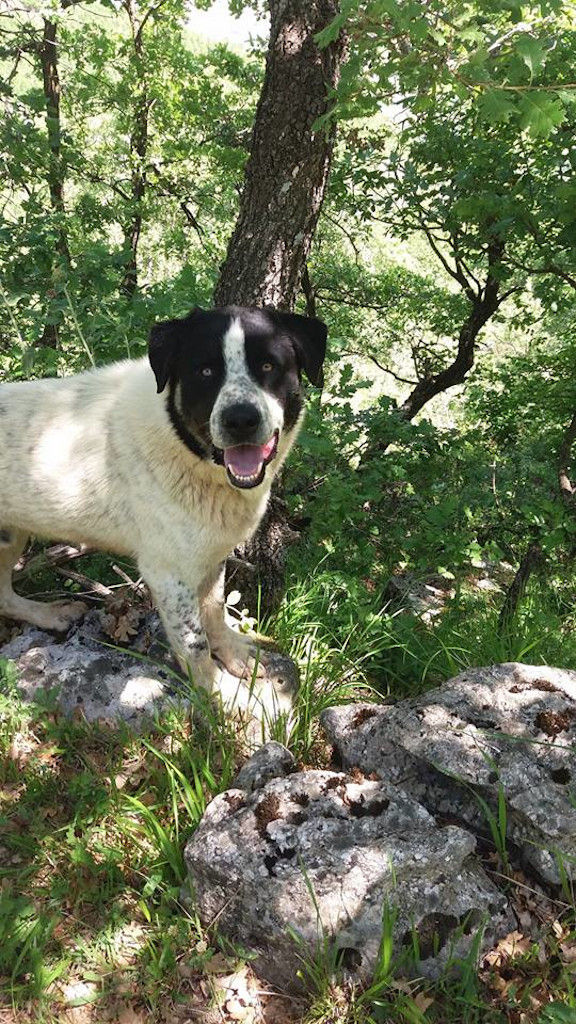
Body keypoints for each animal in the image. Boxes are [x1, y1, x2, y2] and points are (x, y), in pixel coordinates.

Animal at [0, 301, 325, 704]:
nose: (240, 420)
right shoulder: (167, 572)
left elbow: (214, 611)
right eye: (204, 371)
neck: (184, 446)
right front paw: (220, 697)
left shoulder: (209, 553)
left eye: (268, 366)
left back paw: (50, 615)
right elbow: (195, 643)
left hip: (10, 536)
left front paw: (235, 655)